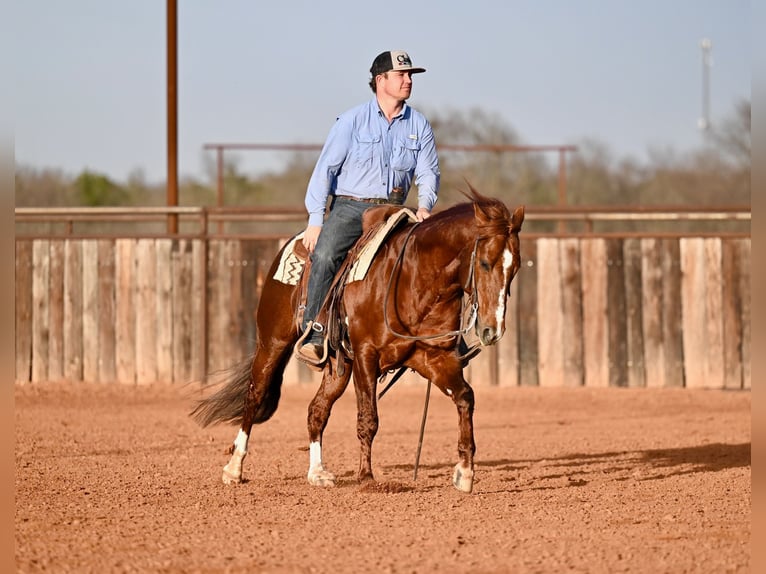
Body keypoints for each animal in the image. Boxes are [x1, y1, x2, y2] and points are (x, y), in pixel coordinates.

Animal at [190, 186, 525, 493]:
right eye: (484, 263)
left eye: (516, 267)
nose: (492, 330)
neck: (413, 278)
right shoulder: (366, 354)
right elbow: (368, 418)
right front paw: (366, 477)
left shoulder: (433, 358)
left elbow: (465, 397)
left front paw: (465, 472)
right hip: (272, 342)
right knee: (255, 396)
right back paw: (234, 468)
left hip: (338, 366)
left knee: (316, 410)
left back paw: (317, 473)